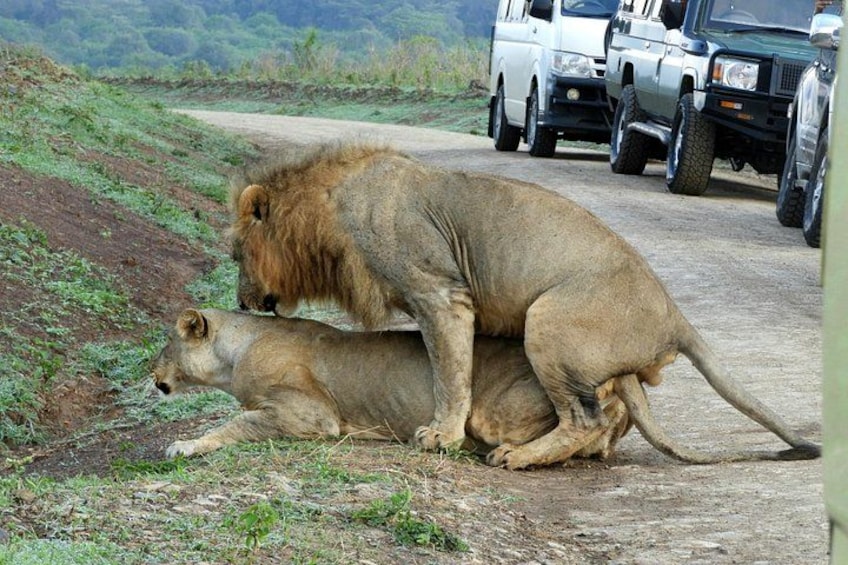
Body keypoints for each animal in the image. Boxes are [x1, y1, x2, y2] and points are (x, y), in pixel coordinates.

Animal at [150, 308, 633, 460]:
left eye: (165, 344)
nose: (150, 374)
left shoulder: (312, 415)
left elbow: (237, 423)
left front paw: (184, 445)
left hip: (497, 414)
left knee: (590, 419)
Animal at [229, 141, 820, 469]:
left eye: (235, 253)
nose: (240, 299)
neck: (328, 212)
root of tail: (675, 315)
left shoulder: (440, 294)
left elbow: (450, 374)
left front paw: (441, 437)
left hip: (547, 320)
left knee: (583, 417)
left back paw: (517, 457)